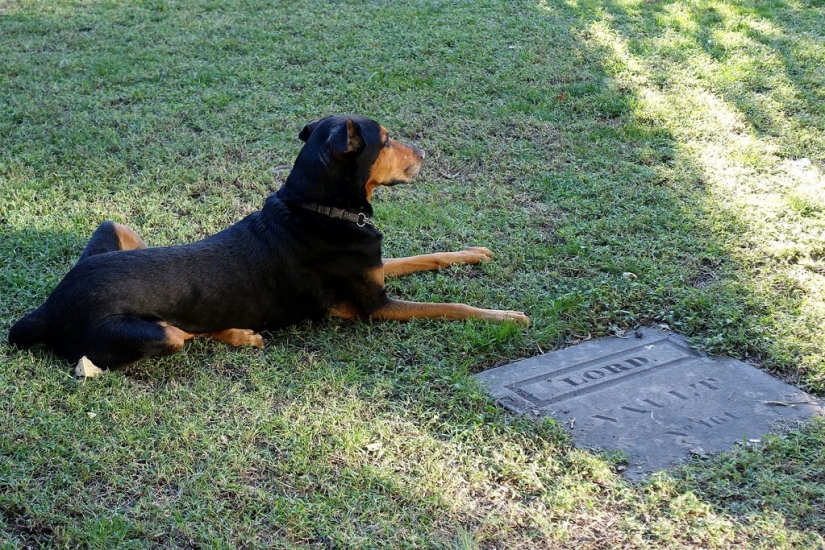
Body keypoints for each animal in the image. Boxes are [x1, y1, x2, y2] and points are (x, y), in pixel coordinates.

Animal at [8, 114, 528, 368]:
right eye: (387, 139)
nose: (423, 154)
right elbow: (455, 308)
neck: (317, 207)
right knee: (184, 333)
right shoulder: (371, 308)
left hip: (113, 228)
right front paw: (507, 316)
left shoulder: (375, 271)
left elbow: (423, 255)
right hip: (154, 333)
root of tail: (47, 309)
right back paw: (239, 333)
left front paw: (472, 253)